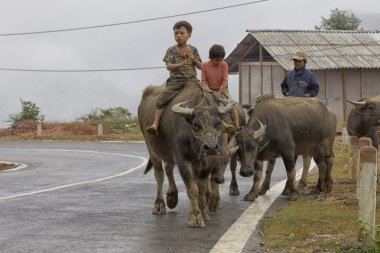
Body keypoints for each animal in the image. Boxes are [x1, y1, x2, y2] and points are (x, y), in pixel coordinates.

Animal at [138, 82, 236, 228]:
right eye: (195, 125)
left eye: (218, 123)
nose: (211, 148)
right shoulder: (183, 160)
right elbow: (192, 188)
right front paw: (195, 217)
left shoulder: (207, 164)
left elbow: (201, 188)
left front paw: (203, 212)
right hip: (152, 149)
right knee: (159, 175)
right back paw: (159, 205)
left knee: (168, 168)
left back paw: (172, 197)